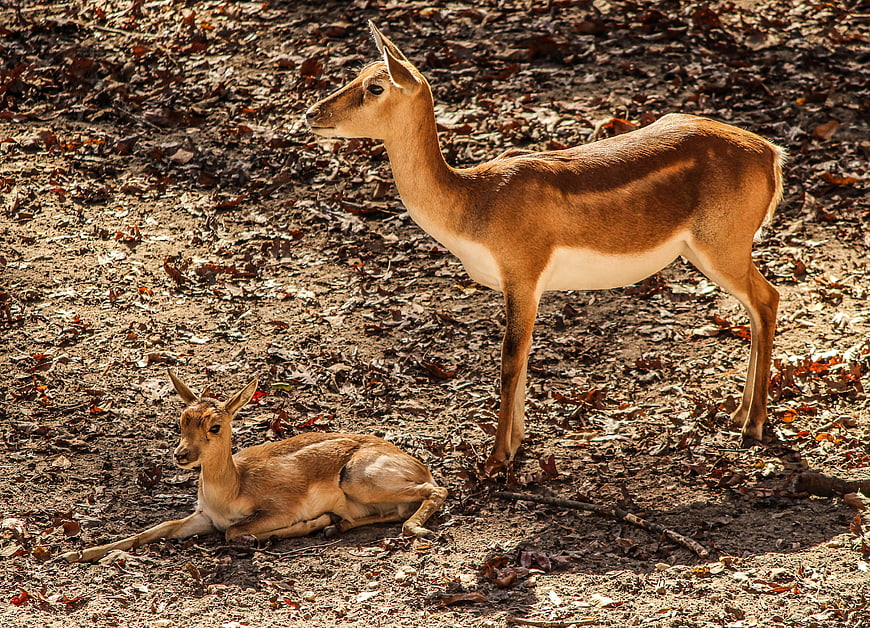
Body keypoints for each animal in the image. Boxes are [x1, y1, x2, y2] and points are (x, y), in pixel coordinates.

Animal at [59, 371, 446, 562]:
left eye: (215, 425)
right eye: (183, 418)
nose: (181, 455)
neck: (233, 489)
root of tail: (417, 463)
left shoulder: (276, 509)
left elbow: (233, 532)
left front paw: (308, 523)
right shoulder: (203, 516)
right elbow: (153, 530)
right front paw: (73, 553)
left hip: (360, 478)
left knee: (436, 491)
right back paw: (336, 525)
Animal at [306, 22, 784, 473]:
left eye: (376, 86)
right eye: (357, 74)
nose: (312, 112)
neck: (474, 203)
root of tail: (771, 153)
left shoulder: (522, 273)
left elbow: (509, 359)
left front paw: (497, 458)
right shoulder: (525, 287)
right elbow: (525, 356)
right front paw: (516, 444)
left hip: (722, 246)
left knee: (768, 298)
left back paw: (754, 424)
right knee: (757, 306)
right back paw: (738, 414)